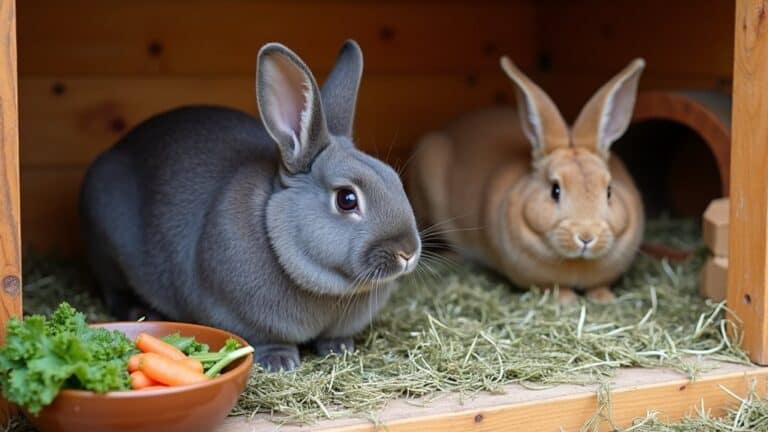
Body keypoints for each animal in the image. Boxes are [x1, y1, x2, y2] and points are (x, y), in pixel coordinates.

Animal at [80, 40, 421, 371]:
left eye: (394, 179)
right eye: (347, 199)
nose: (407, 252)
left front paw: (340, 348)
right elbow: (264, 339)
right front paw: (279, 361)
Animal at [407, 57, 645, 303]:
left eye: (609, 191)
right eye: (555, 190)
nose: (587, 236)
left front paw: (604, 297)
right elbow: (551, 287)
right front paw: (567, 299)